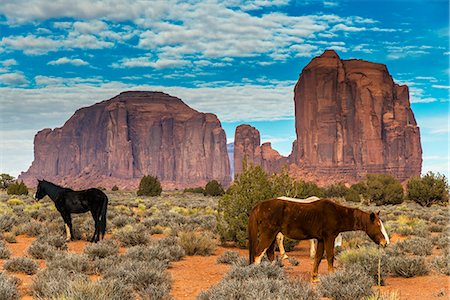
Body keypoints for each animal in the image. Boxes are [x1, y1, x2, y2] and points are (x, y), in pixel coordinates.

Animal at [248, 197, 388, 282]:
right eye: (378, 225)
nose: (385, 242)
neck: (336, 213)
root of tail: (259, 206)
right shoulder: (329, 237)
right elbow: (330, 256)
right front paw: (332, 275)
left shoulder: (321, 239)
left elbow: (318, 257)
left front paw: (315, 277)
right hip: (268, 234)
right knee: (258, 253)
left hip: (272, 235)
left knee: (269, 254)